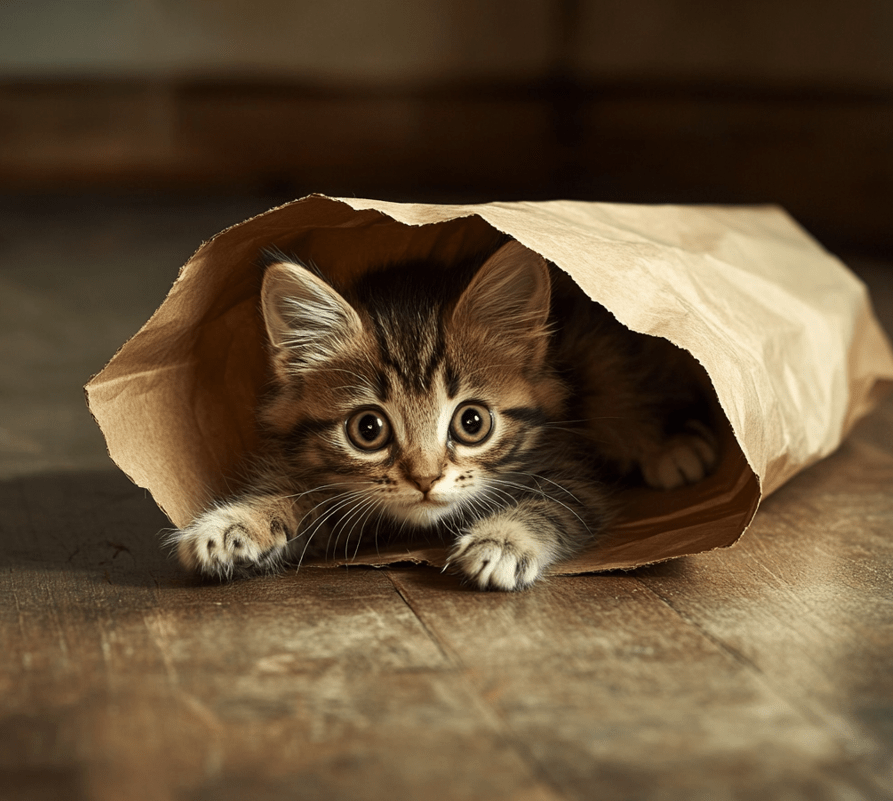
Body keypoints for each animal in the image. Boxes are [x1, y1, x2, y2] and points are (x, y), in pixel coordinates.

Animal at [172, 238, 716, 588]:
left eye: (472, 423)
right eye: (367, 429)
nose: (426, 478)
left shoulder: (569, 469)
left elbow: (550, 504)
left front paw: (502, 540)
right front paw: (235, 524)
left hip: (604, 362)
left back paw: (673, 450)